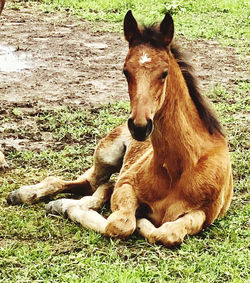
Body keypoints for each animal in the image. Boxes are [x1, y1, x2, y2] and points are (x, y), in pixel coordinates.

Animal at [6, 11, 233, 246]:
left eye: (164, 73)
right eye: (125, 72)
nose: (140, 127)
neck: (178, 168)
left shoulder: (204, 214)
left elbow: (166, 234)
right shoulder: (127, 184)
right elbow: (120, 224)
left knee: (95, 185)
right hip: (106, 155)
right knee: (86, 181)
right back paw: (26, 195)